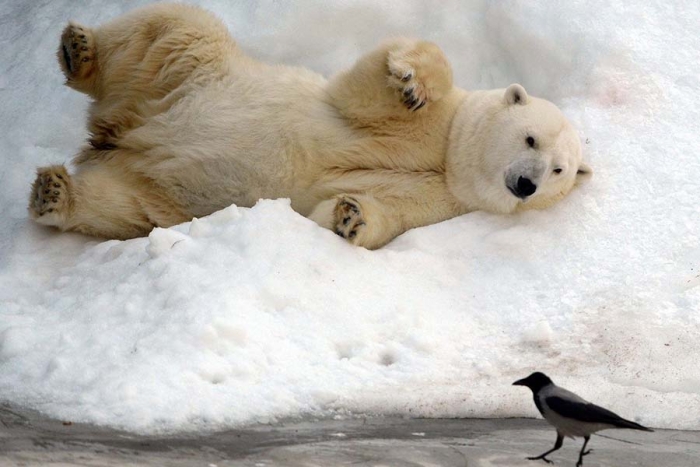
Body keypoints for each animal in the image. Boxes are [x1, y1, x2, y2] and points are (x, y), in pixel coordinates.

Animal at [31, 2, 592, 249]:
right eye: (530, 138)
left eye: (560, 170)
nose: (526, 184)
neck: (449, 158)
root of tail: (119, 134)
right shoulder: (422, 124)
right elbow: (363, 92)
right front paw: (412, 82)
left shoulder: (443, 202)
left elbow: (381, 212)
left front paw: (350, 215)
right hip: (194, 76)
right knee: (175, 29)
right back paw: (80, 49)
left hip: (159, 191)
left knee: (126, 207)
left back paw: (56, 193)